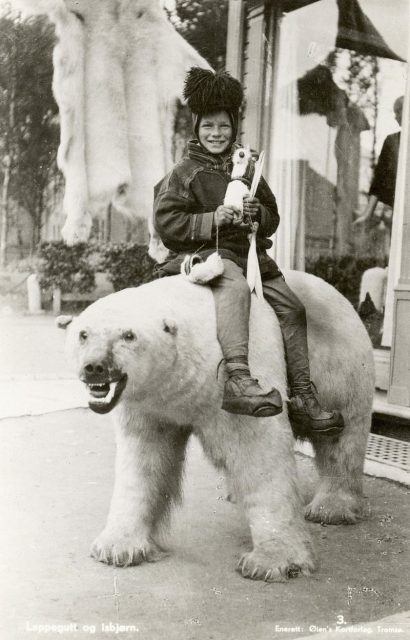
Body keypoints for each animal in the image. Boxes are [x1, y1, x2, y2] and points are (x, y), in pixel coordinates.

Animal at [57, 272, 374, 584]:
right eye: (83, 334)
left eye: (129, 335)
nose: (94, 367)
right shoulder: (150, 404)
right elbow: (143, 460)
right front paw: (117, 547)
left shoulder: (239, 387)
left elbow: (260, 453)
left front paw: (272, 562)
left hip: (342, 363)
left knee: (342, 438)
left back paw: (331, 509)